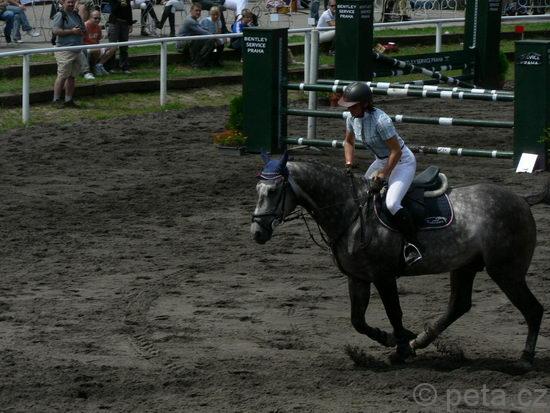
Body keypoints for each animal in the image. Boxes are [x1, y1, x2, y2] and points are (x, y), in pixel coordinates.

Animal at [250, 152, 550, 367]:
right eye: (257, 189)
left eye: (274, 191)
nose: (257, 232)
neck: (351, 213)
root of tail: (522, 200)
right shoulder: (358, 277)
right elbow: (357, 320)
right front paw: (395, 338)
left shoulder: (384, 276)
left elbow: (394, 312)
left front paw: (400, 348)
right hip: (465, 267)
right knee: (459, 305)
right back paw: (422, 340)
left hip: (506, 271)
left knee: (533, 309)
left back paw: (525, 360)